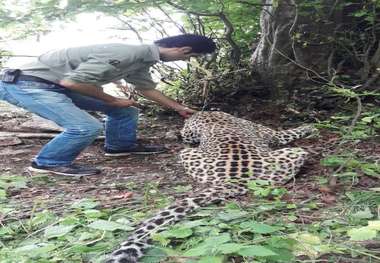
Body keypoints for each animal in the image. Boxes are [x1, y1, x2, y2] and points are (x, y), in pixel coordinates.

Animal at [105, 111, 316, 263]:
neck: (209, 114)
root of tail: (236, 178)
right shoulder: (275, 135)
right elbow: (291, 131)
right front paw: (310, 126)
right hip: (295, 151)